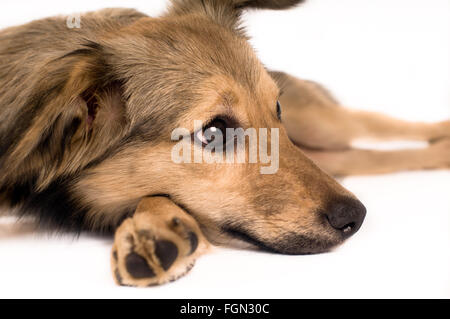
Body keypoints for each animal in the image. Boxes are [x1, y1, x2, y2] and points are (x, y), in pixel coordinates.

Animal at [0, 0, 448, 288]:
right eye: (214, 132)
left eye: (276, 108)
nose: (355, 216)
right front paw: (161, 230)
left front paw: (157, 230)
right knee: (364, 154)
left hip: (320, 124)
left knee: (375, 123)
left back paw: (442, 137)